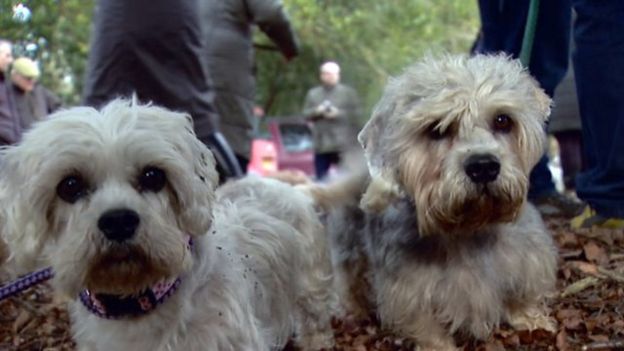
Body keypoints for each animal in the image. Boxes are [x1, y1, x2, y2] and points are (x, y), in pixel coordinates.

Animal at [1, 99, 336, 351]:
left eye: (153, 176)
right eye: (69, 186)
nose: (118, 221)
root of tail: (287, 185)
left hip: (310, 283)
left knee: (315, 319)